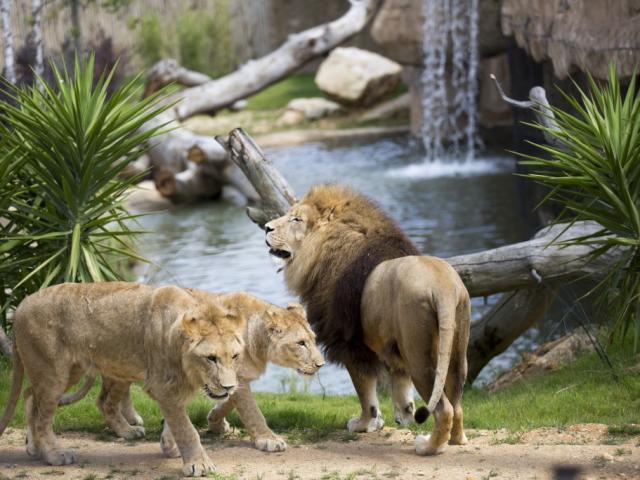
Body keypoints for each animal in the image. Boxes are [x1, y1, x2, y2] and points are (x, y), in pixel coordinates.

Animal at [0, 282, 245, 476]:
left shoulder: (173, 388)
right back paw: (53, 454)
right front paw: (199, 464)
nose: (229, 387)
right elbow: (186, 428)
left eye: (234, 356)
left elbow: (175, 420)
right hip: (53, 373)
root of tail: (20, 306)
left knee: (31, 396)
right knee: (42, 416)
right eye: (211, 358)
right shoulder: (162, 386)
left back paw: (35, 448)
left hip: (70, 371)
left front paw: (170, 447)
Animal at [264, 186, 470, 456]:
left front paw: (364, 424)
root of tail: (443, 287)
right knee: (457, 405)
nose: (266, 227)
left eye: (296, 219)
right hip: (456, 355)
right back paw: (457, 440)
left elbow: (365, 393)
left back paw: (428, 447)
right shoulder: (392, 349)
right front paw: (404, 415)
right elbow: (400, 386)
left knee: (443, 409)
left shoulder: (349, 344)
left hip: (421, 357)